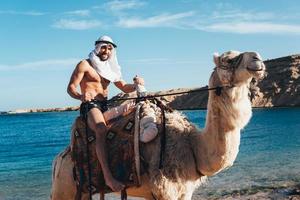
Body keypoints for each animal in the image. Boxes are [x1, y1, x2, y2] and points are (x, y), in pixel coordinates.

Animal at [51, 50, 264, 199]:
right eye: (227, 60)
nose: (258, 59)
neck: (192, 147)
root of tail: (59, 158)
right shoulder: (166, 190)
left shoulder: (184, 191)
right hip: (64, 187)